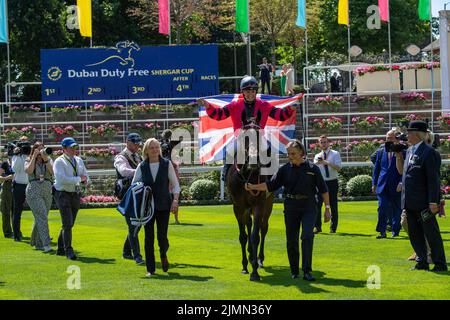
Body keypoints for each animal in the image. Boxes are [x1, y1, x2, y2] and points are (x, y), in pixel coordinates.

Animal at [225, 114, 274, 280]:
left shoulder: (259, 205)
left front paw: (254, 272)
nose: (253, 160)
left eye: (259, 135)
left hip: (268, 204)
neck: (247, 174)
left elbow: (254, 236)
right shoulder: (238, 207)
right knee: (248, 224)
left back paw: (259, 258)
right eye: (244, 137)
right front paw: (245, 266)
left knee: (263, 229)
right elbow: (243, 236)